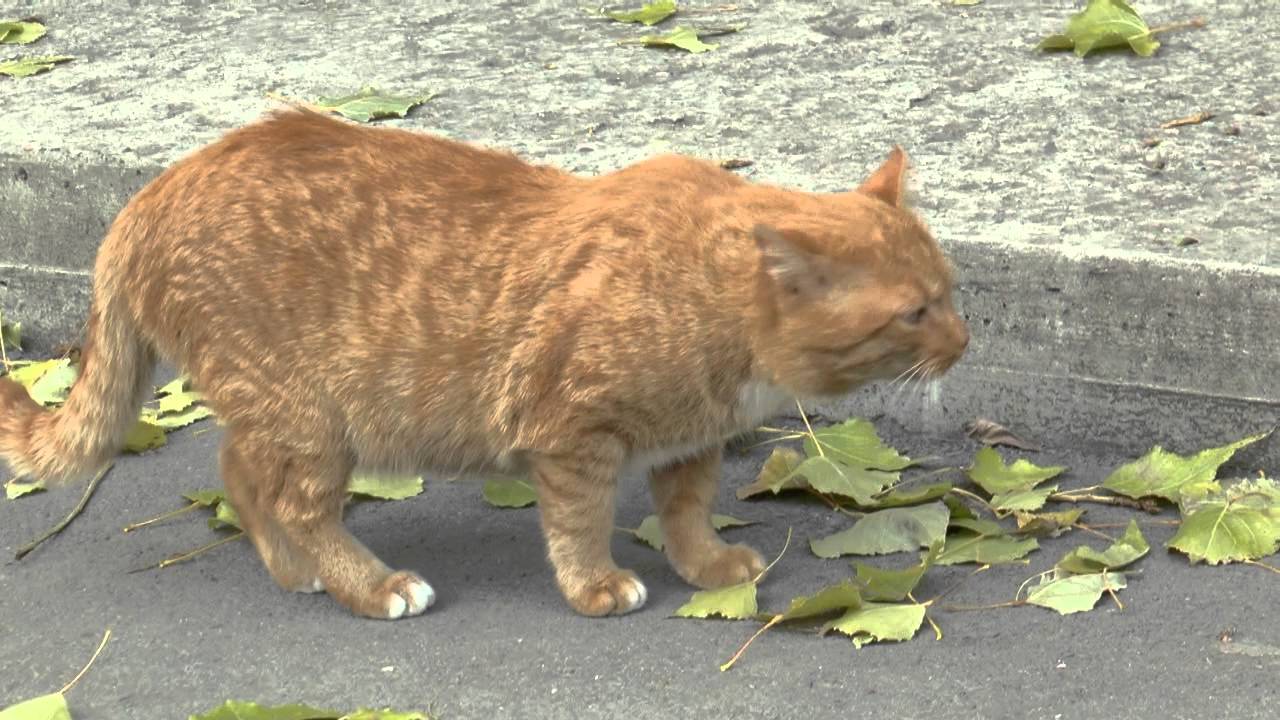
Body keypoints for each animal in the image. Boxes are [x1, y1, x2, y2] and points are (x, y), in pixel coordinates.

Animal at [0, 109, 962, 620]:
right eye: (914, 313)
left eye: (951, 292)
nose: (963, 341)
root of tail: (151, 193)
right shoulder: (572, 438)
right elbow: (578, 524)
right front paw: (596, 585)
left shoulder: (691, 441)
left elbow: (687, 512)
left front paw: (705, 565)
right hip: (314, 422)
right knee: (295, 500)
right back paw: (366, 584)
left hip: (282, 417)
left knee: (239, 469)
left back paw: (293, 569)